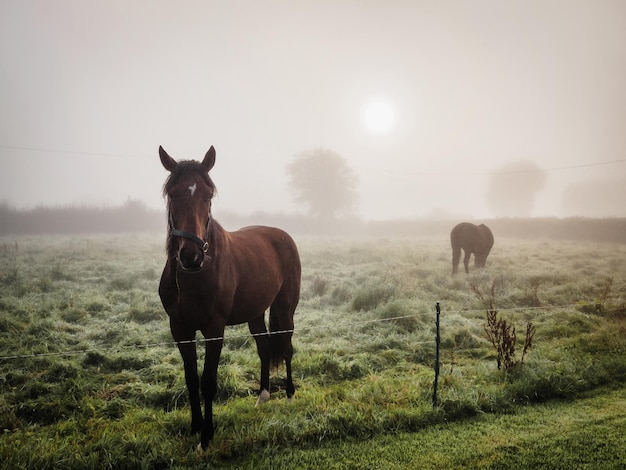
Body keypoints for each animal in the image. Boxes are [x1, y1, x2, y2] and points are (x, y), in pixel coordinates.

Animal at [157, 145, 302, 450]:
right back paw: (262, 397)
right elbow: (191, 378)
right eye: (172, 193)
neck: (194, 278)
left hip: (285, 308)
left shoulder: (214, 329)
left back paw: (290, 396)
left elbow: (208, 381)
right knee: (264, 347)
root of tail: (283, 235)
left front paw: (207, 436)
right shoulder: (180, 329)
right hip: (256, 313)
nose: (191, 256)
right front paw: (195, 427)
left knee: (286, 347)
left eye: (208, 195)